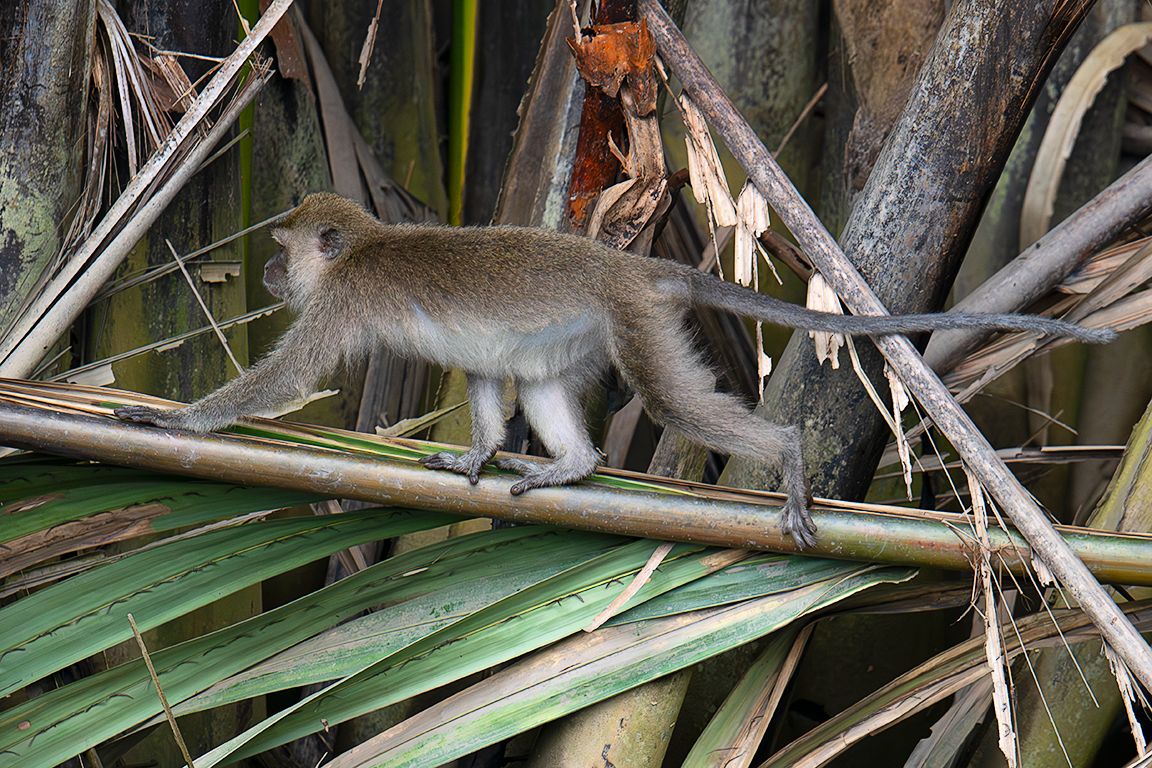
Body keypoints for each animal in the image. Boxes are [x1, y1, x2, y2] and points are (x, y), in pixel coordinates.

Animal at [115, 193, 1115, 548]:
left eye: (282, 249)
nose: (269, 275)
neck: (361, 248)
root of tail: (633, 267)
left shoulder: (341, 303)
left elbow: (283, 382)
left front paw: (177, 422)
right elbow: (488, 382)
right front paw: (477, 456)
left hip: (636, 324)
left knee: (672, 398)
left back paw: (788, 457)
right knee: (537, 376)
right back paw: (573, 466)